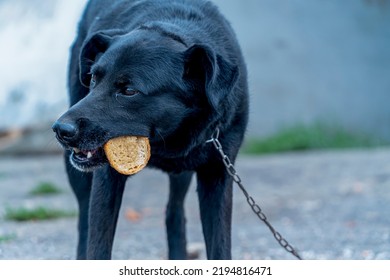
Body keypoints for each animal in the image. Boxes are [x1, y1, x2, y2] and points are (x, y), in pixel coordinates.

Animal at [52, 0, 247, 260]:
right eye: (94, 78)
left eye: (129, 90)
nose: (60, 129)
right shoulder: (107, 178)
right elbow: (98, 245)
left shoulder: (217, 174)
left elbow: (220, 247)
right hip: (77, 173)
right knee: (84, 218)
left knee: (174, 211)